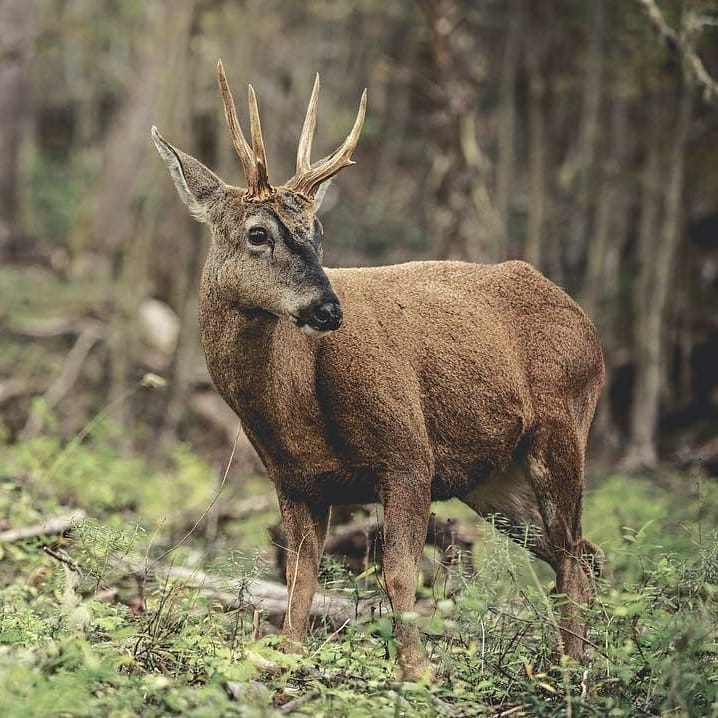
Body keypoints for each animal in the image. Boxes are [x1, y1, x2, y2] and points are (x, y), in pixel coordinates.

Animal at [153, 62, 608, 680]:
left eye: (318, 232)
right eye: (257, 233)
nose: (328, 308)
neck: (296, 410)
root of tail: (584, 320)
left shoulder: (410, 454)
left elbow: (398, 576)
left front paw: (418, 672)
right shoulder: (294, 480)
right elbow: (300, 579)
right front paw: (287, 660)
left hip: (562, 431)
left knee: (574, 558)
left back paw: (571, 670)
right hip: (495, 478)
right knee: (586, 556)